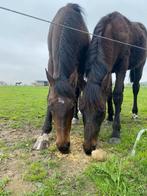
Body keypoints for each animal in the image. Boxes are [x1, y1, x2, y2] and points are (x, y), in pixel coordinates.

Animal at [33, 2, 89, 153]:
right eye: (50, 105)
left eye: (72, 105)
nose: (63, 146)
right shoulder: (51, 63)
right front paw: (44, 135)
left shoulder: (80, 67)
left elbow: (77, 92)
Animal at [80, 11, 146, 155]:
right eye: (81, 110)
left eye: (101, 111)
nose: (88, 148)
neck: (114, 34)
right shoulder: (109, 70)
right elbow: (109, 93)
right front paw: (111, 116)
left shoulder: (122, 68)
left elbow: (117, 95)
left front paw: (115, 133)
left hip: (140, 66)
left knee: (135, 87)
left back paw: (134, 113)